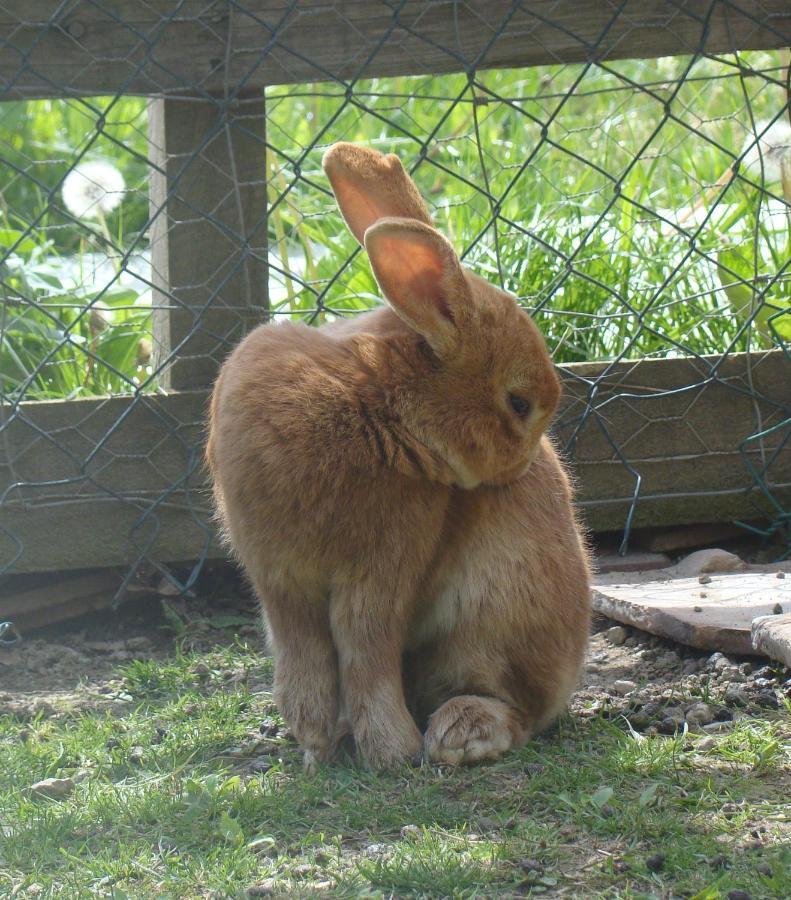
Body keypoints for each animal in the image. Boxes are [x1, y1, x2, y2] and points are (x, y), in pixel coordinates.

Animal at [207, 144, 592, 768]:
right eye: (519, 403)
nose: (522, 466)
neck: (377, 393)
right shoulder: (280, 577)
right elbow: (308, 652)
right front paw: (315, 743)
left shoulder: (385, 565)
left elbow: (365, 647)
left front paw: (390, 752)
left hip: (491, 623)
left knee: (515, 706)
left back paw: (457, 734)